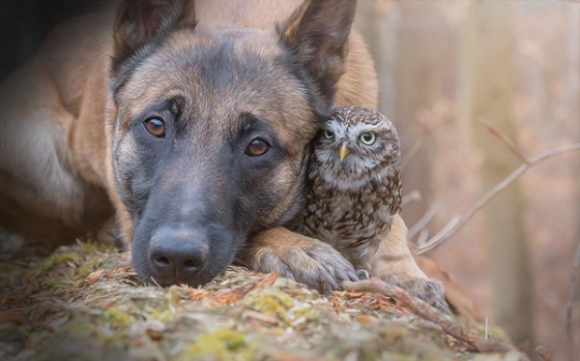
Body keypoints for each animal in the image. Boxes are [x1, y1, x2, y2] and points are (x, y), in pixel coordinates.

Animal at [0, 0, 444, 308]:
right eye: (155, 125)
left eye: (257, 146)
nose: (175, 259)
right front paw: (297, 247)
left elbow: (395, 226)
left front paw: (404, 271)